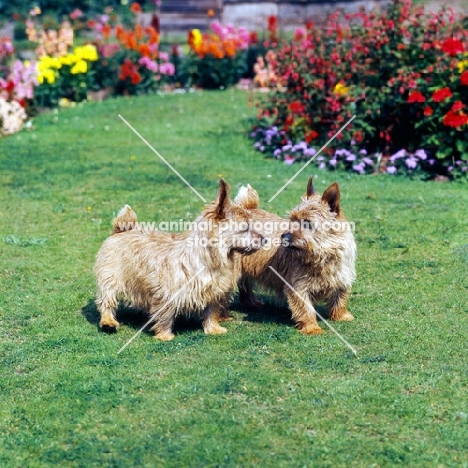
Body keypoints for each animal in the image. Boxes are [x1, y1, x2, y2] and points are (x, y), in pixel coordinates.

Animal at [93, 179, 266, 340]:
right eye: (245, 227)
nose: (264, 239)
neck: (208, 258)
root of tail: (121, 230)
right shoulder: (166, 292)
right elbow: (165, 316)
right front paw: (164, 335)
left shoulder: (215, 291)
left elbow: (211, 311)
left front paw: (213, 329)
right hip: (110, 277)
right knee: (106, 300)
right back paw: (108, 322)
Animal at [236, 177, 356, 334]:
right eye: (292, 219)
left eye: (308, 223)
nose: (284, 236)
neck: (323, 256)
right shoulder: (298, 286)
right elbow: (306, 308)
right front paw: (312, 328)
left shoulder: (343, 277)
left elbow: (340, 297)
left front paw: (341, 316)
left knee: (245, 284)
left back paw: (251, 302)